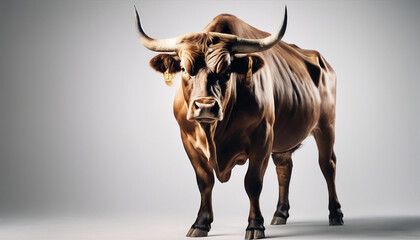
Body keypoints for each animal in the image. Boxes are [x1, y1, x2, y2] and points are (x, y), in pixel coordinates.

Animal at [136, 6, 342, 239]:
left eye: (227, 70)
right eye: (184, 69)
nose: (205, 106)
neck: (214, 134)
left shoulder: (262, 137)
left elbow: (253, 183)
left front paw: (255, 225)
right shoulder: (187, 139)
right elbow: (204, 181)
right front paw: (201, 224)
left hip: (326, 125)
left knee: (327, 164)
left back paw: (335, 214)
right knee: (284, 166)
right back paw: (280, 213)